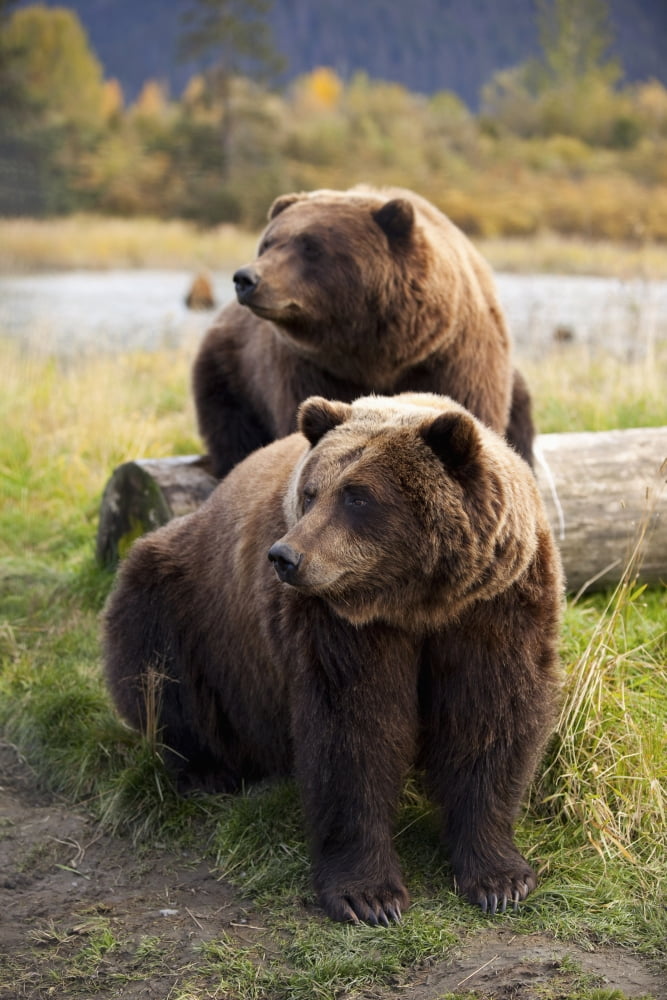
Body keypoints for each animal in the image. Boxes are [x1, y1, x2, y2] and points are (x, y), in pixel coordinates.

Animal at [103, 391, 563, 925]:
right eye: (311, 493)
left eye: (357, 496)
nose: (285, 556)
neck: (418, 604)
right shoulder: (338, 624)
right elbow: (352, 733)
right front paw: (369, 895)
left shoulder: (495, 605)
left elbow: (490, 718)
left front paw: (500, 878)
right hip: (193, 602)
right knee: (159, 669)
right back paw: (205, 769)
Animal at [192, 185, 535, 479]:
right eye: (268, 243)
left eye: (311, 246)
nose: (246, 278)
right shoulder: (309, 366)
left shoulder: (451, 355)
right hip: (231, 370)